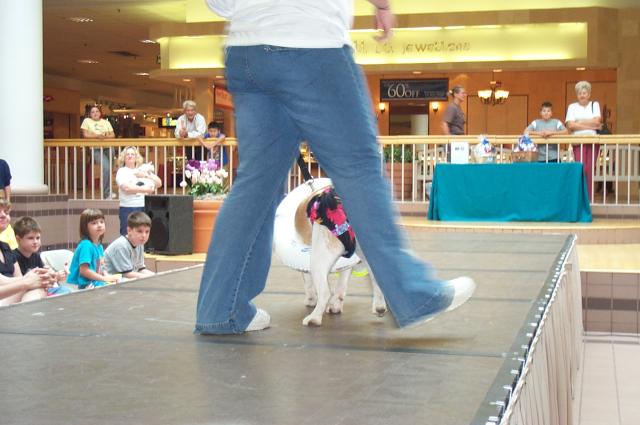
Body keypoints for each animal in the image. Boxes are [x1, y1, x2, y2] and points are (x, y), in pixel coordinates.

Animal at [293, 186, 387, 326]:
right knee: (377, 278)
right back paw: (379, 306)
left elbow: (307, 280)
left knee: (325, 292)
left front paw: (310, 299)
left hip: (318, 261)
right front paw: (335, 305)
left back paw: (313, 318)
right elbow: (341, 284)